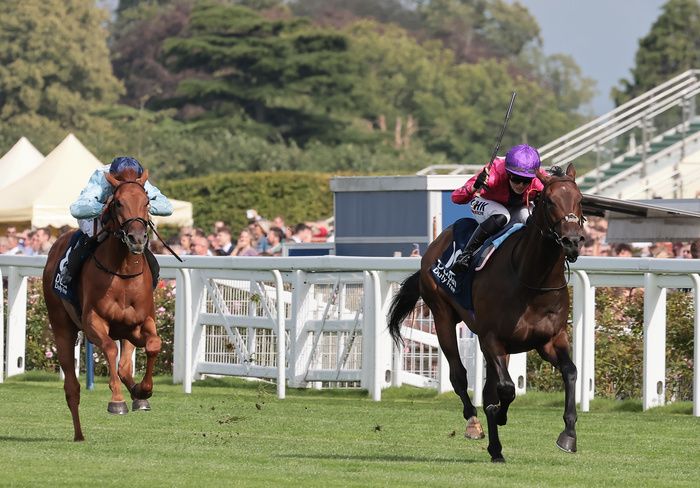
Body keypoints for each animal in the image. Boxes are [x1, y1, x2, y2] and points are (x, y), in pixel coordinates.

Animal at [41, 168, 161, 442]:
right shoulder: (93, 322)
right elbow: (109, 350)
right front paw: (117, 400)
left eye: (147, 202)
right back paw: (79, 434)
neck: (123, 272)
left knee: (126, 367)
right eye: (117, 203)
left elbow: (153, 345)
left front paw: (144, 390)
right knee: (72, 387)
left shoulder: (140, 323)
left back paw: (137, 395)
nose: (137, 238)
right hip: (62, 327)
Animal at [388, 164, 584, 462]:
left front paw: (569, 435)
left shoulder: (550, 340)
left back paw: (495, 449)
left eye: (580, 199)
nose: (572, 241)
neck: (531, 280)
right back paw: (474, 423)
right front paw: (498, 416)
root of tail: (439, 239)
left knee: (487, 387)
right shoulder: (492, 339)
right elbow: (506, 389)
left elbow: (570, 372)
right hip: (443, 317)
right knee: (459, 375)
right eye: (549, 201)